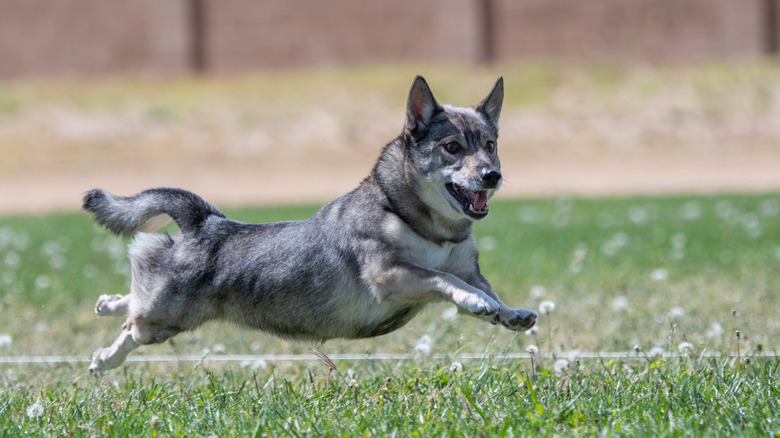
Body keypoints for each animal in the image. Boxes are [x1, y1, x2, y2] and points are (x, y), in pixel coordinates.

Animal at [84, 76, 536, 372]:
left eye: (491, 146)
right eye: (453, 147)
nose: (492, 175)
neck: (420, 222)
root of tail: (206, 222)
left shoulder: (467, 269)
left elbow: (485, 289)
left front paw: (508, 312)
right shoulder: (390, 274)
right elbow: (447, 281)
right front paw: (477, 303)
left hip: (165, 311)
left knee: (133, 299)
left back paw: (106, 303)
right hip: (166, 318)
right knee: (132, 325)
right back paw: (104, 359)